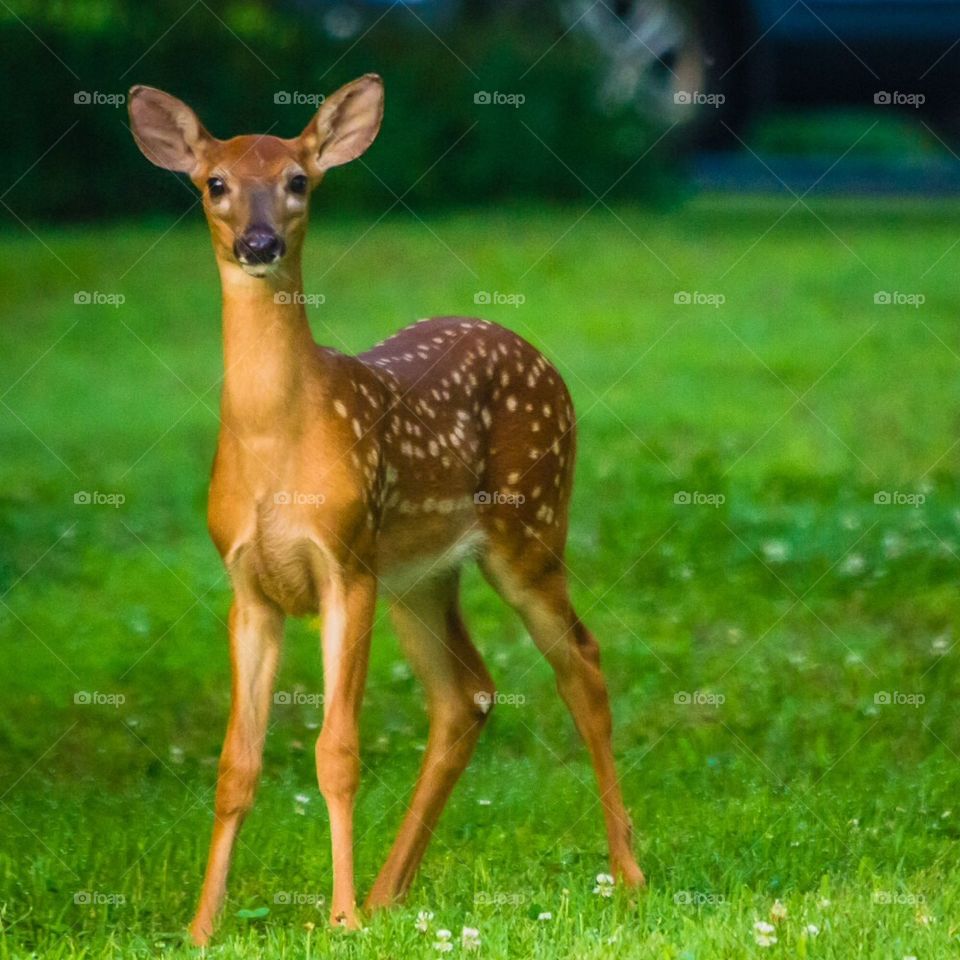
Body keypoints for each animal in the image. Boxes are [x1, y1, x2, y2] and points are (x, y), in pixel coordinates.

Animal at [124, 75, 640, 944]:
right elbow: (236, 764)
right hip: (421, 576)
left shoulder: (346, 564)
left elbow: (337, 752)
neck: (277, 445)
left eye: (299, 181)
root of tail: (537, 353)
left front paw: (338, 920)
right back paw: (390, 891)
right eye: (214, 183)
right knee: (466, 692)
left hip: (528, 527)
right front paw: (201, 928)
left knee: (582, 662)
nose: (258, 244)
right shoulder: (249, 587)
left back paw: (627, 873)